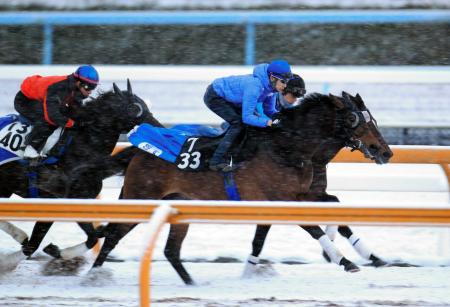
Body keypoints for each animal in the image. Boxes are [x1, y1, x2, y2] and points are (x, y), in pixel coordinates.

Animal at [0, 79, 163, 270]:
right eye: (135, 108)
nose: (160, 129)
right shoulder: (58, 200)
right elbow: (32, 246)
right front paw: (9, 262)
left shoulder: (75, 201)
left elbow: (93, 237)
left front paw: (57, 251)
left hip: (5, 186)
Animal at [86, 91, 392, 286]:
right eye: (355, 119)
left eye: (374, 119)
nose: (385, 151)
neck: (289, 147)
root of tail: (137, 150)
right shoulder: (282, 199)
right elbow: (311, 226)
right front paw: (343, 260)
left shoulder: (304, 194)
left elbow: (335, 207)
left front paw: (372, 256)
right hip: (140, 198)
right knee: (112, 236)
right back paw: (93, 276)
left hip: (179, 205)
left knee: (170, 250)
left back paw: (191, 284)